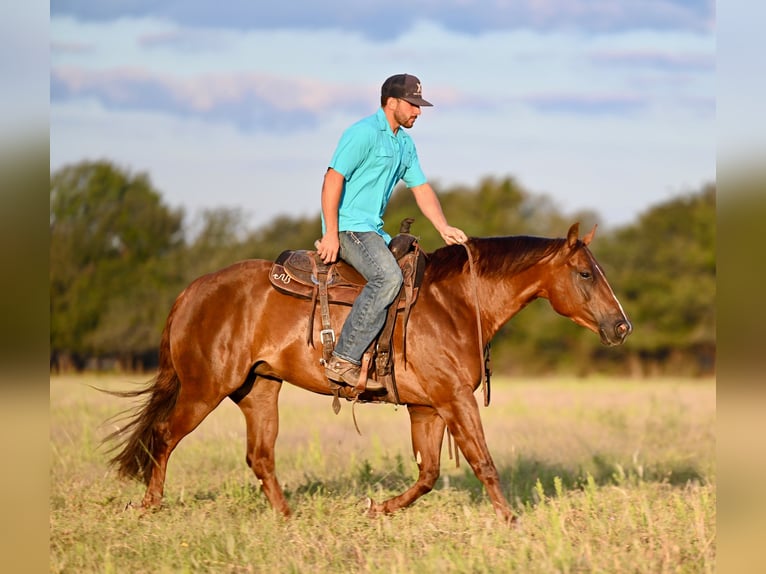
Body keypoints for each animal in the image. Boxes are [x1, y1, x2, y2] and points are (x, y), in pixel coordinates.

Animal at [109, 223, 636, 524]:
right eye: (585, 273)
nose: (621, 326)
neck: (456, 304)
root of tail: (192, 291)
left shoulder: (428, 408)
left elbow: (428, 473)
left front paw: (376, 508)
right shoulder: (455, 400)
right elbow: (483, 463)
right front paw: (511, 523)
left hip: (258, 390)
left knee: (260, 456)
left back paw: (288, 518)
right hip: (204, 389)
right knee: (164, 434)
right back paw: (149, 505)